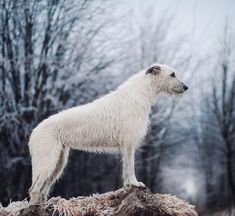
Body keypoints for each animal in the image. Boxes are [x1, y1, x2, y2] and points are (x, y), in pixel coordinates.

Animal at [28, 63, 188, 203]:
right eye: (172, 74)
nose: (186, 87)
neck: (141, 92)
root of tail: (33, 132)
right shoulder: (128, 142)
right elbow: (130, 166)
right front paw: (135, 183)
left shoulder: (126, 144)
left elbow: (125, 167)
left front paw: (128, 185)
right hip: (47, 160)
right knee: (34, 189)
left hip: (59, 162)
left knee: (42, 189)